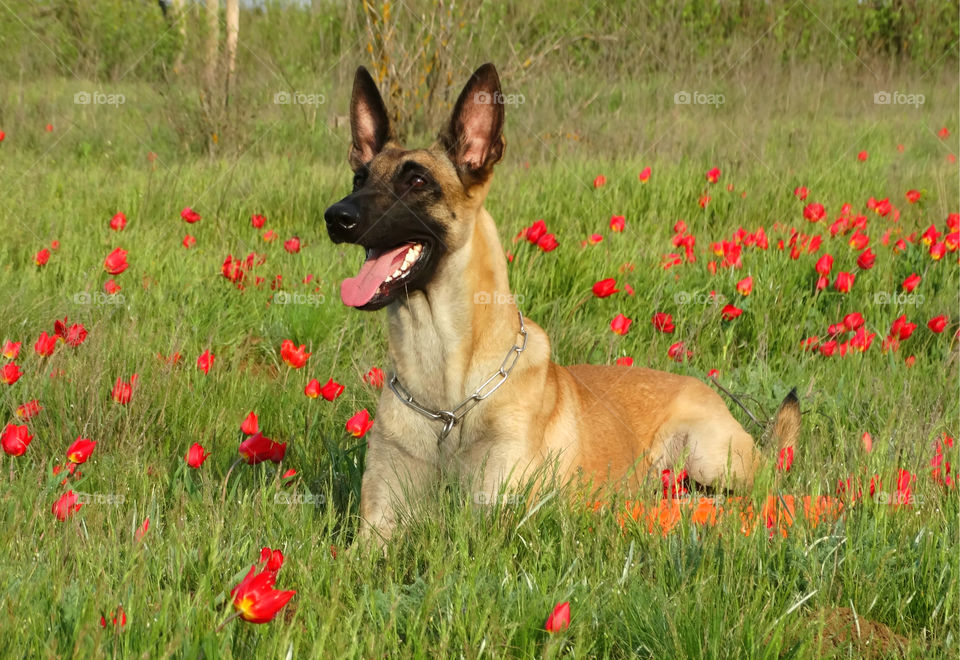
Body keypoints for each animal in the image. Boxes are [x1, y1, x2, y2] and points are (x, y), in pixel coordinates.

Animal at [326, 63, 800, 548]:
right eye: (359, 179)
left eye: (417, 181)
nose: (336, 217)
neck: (447, 401)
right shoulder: (376, 528)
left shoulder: (492, 521)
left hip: (708, 457)